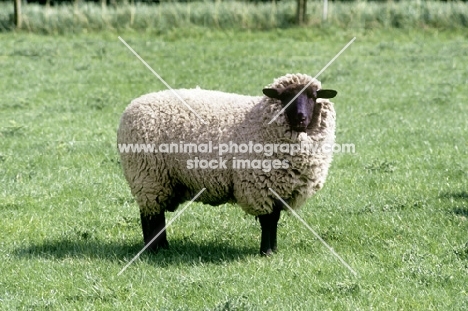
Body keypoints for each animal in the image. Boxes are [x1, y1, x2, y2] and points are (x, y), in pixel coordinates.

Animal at [116, 73, 336, 256]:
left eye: (312, 96)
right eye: (285, 96)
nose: (301, 118)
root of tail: (133, 106)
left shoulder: (278, 189)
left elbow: (274, 220)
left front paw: (273, 250)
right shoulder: (260, 186)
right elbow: (268, 221)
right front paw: (266, 252)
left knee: (156, 215)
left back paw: (163, 247)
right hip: (148, 177)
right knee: (151, 216)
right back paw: (153, 250)